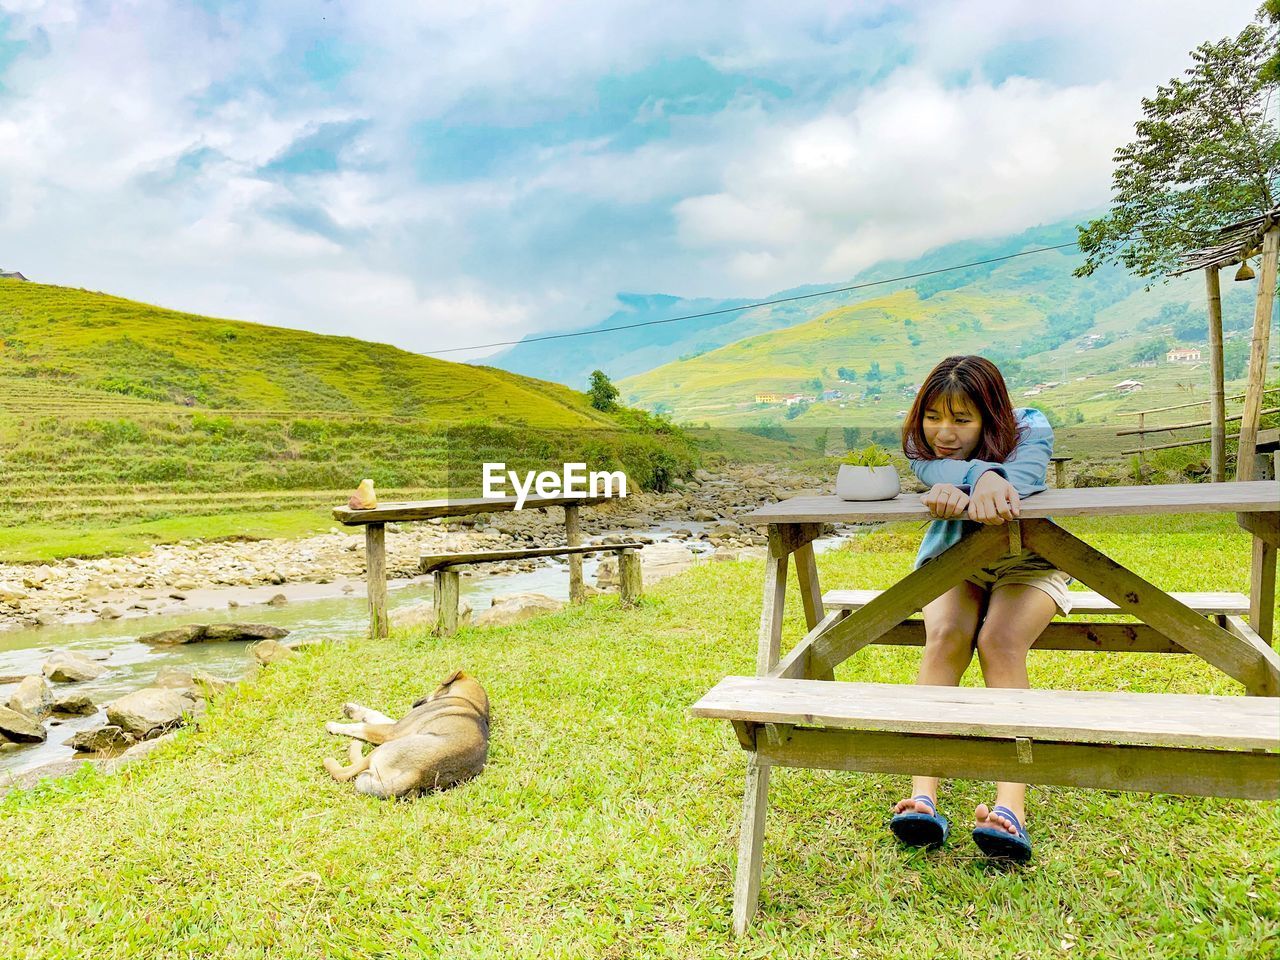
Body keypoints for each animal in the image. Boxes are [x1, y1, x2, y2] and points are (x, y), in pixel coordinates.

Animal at [325, 670, 488, 798]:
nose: (414, 703)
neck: (470, 702)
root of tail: (417, 773)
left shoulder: (391, 731)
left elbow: (362, 726)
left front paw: (335, 725)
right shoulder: (397, 725)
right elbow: (375, 715)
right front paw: (352, 709)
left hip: (386, 747)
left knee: (346, 771)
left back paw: (348, 749)